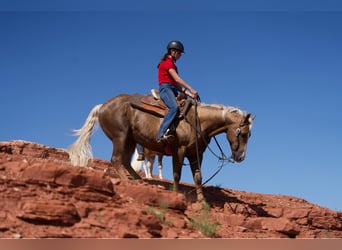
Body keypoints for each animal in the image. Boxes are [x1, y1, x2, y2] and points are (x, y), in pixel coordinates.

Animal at [68, 93, 254, 201]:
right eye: (244, 134)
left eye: (249, 135)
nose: (241, 157)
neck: (198, 121)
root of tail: (102, 106)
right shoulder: (179, 150)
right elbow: (177, 174)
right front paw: (177, 193)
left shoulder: (196, 154)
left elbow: (198, 177)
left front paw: (203, 202)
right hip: (120, 137)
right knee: (116, 159)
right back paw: (129, 181)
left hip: (130, 140)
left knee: (126, 161)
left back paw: (139, 180)